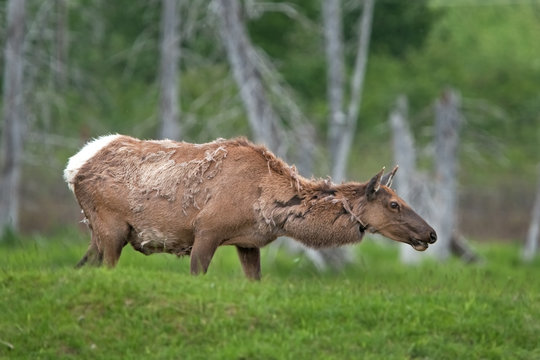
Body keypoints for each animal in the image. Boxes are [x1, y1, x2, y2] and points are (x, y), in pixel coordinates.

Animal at [63, 135, 436, 278]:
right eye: (394, 204)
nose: (431, 234)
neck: (270, 207)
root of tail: (74, 167)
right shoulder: (207, 231)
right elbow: (198, 274)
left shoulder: (247, 243)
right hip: (112, 228)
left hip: (98, 233)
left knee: (81, 266)